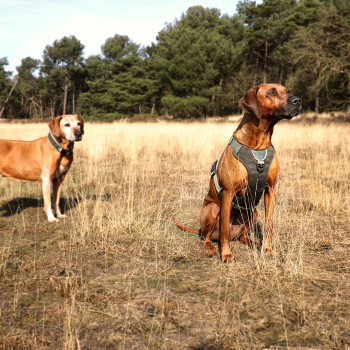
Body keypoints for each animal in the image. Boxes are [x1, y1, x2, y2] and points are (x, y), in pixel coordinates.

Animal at [175, 83, 300, 262]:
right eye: (271, 92)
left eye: (287, 91)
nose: (298, 100)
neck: (258, 146)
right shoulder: (228, 192)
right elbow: (224, 232)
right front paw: (226, 254)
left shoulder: (271, 190)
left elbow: (269, 225)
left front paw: (267, 250)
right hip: (212, 209)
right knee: (207, 236)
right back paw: (210, 248)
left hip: (252, 212)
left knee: (242, 237)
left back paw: (254, 243)